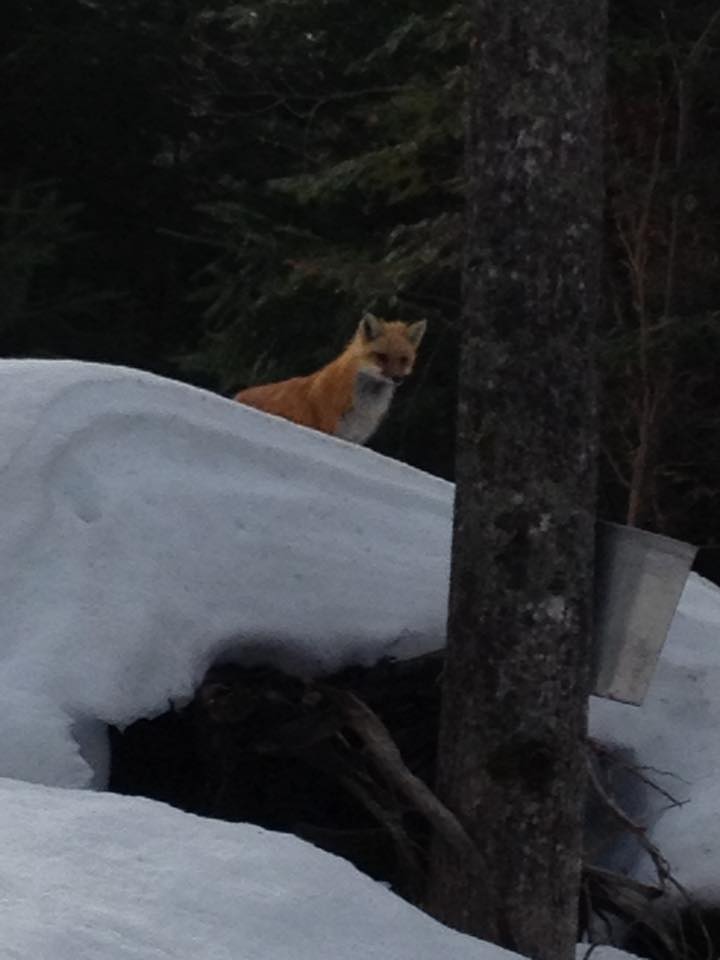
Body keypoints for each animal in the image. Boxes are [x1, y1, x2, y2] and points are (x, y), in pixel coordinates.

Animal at [236, 314, 428, 444]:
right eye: (382, 357)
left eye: (403, 360)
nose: (397, 378)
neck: (363, 407)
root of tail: (238, 395)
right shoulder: (330, 430)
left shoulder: (353, 439)